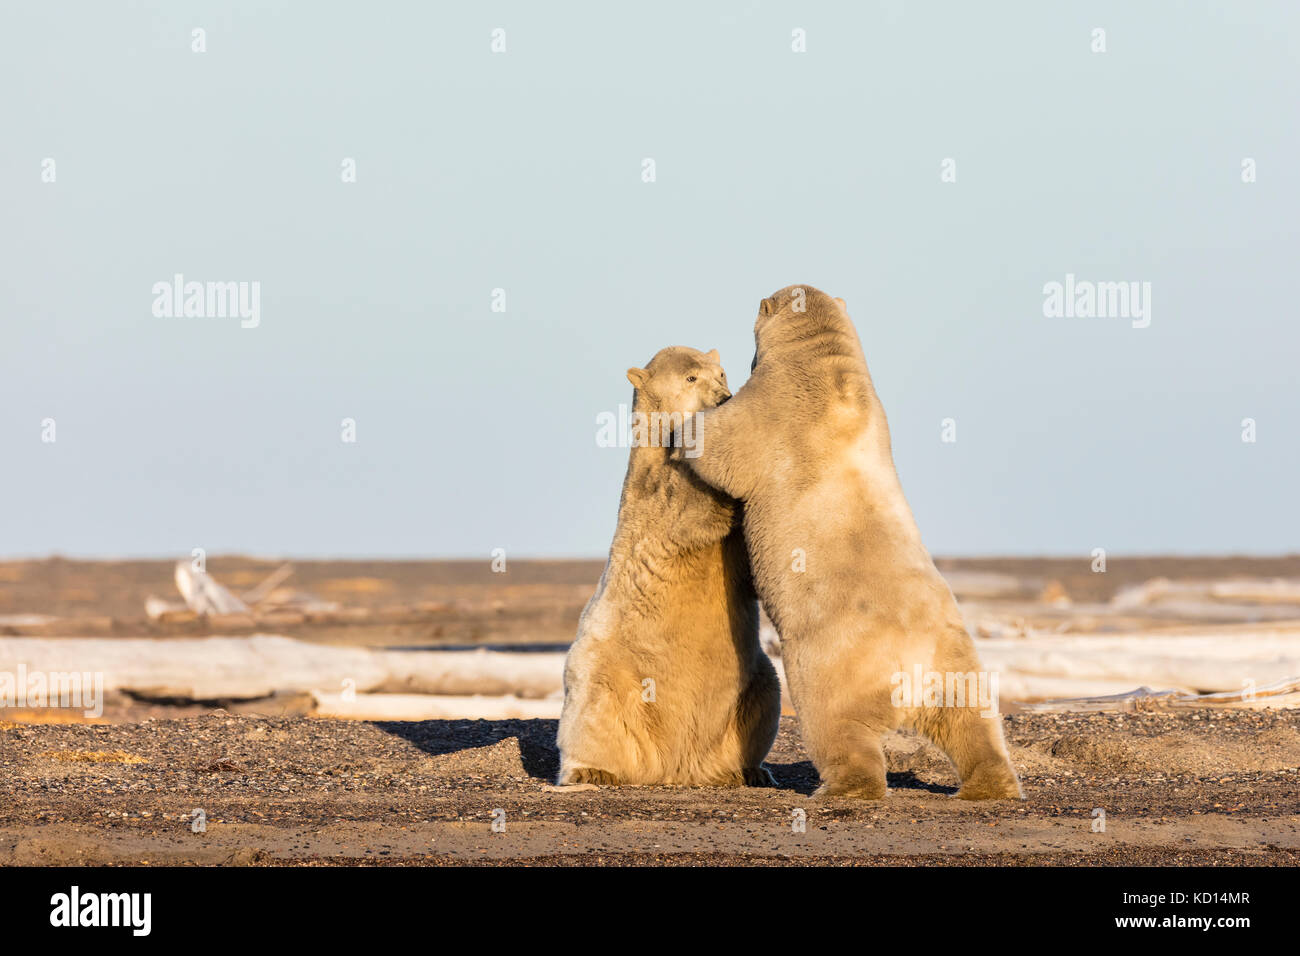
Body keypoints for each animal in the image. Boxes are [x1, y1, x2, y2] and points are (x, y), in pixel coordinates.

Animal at [553, 348, 774, 790]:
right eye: (690, 377)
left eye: (721, 373)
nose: (723, 398)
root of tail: (674, 765)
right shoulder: (653, 491)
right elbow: (694, 505)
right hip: (608, 667)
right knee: (591, 706)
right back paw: (590, 769)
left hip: (749, 687)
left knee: (768, 693)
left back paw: (748, 770)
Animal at [686, 290, 1019, 801]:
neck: (828, 370)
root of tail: (911, 672)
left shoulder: (773, 406)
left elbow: (720, 449)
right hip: (954, 658)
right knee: (970, 718)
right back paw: (989, 785)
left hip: (832, 667)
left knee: (836, 725)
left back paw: (842, 787)